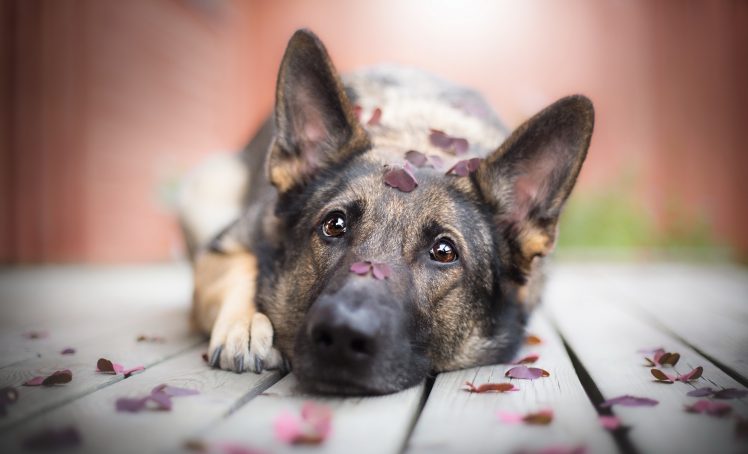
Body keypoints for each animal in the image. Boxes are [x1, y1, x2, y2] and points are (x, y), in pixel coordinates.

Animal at [178, 30, 592, 396]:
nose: (343, 334)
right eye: (334, 225)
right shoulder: (227, 243)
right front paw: (246, 323)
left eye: (445, 252)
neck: (418, 142)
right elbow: (238, 268)